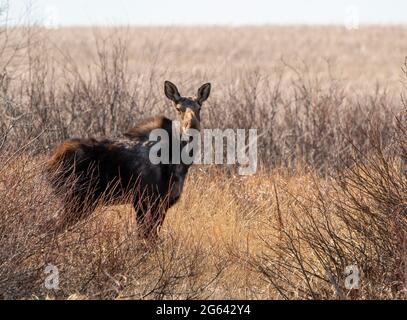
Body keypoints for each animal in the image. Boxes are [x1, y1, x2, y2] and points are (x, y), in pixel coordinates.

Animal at [47, 81, 212, 238]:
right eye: (178, 108)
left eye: (199, 107)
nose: (192, 127)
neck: (180, 163)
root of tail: (50, 164)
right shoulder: (144, 200)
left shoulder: (163, 202)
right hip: (78, 200)